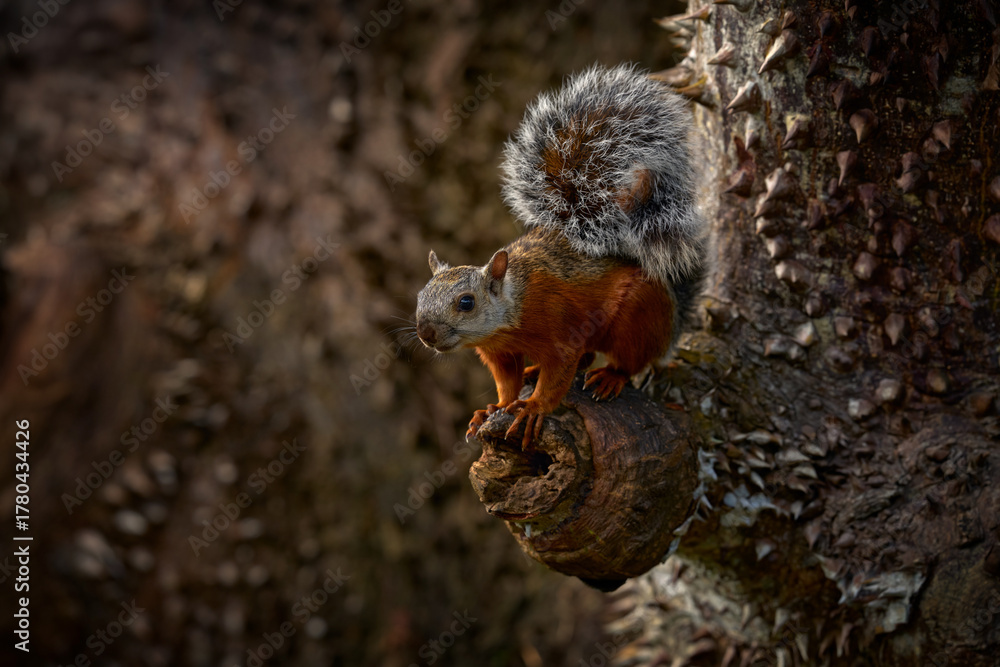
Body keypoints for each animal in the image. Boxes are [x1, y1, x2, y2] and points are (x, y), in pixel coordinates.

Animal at [416, 64, 707, 447]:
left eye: (467, 302)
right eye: (419, 297)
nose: (426, 334)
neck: (514, 310)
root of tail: (673, 318)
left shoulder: (560, 330)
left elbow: (558, 375)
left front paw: (533, 408)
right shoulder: (500, 353)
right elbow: (507, 382)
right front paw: (495, 408)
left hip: (637, 316)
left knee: (629, 360)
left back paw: (610, 377)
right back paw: (534, 370)